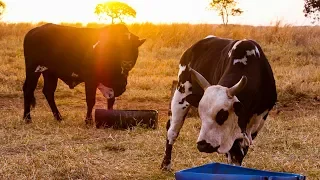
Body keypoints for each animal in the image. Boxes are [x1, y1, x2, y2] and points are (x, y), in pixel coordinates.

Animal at [161, 35, 276, 170]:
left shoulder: (258, 121)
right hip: (180, 94)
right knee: (172, 131)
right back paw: (166, 164)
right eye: (201, 115)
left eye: (222, 115)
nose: (202, 145)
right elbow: (234, 152)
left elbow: (240, 152)